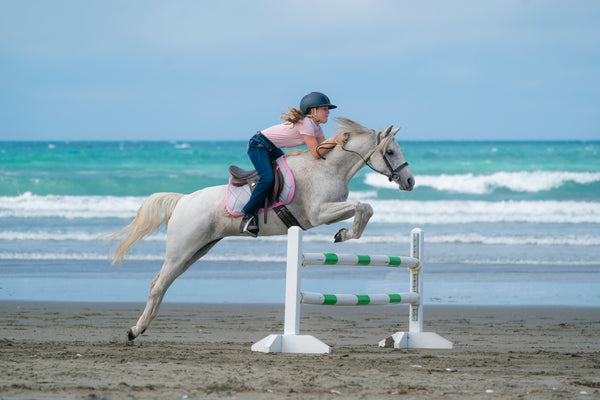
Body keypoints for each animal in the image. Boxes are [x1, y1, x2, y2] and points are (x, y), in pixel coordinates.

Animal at [108, 117, 414, 340]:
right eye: (390, 151)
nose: (410, 181)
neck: (328, 169)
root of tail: (183, 200)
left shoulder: (327, 213)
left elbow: (365, 208)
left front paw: (343, 234)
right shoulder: (318, 214)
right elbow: (363, 206)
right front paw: (344, 235)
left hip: (196, 251)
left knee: (164, 283)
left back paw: (142, 327)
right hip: (181, 251)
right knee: (158, 284)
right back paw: (135, 330)